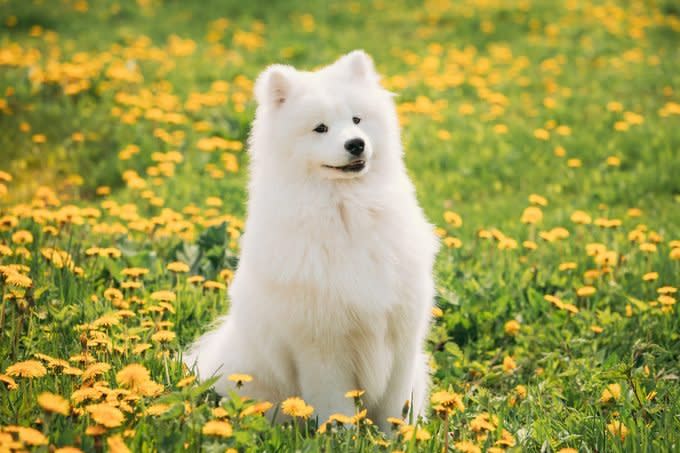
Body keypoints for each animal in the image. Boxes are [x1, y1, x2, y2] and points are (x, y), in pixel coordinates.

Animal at [185, 50, 440, 430]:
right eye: (320, 128)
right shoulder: (322, 347)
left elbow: (395, 407)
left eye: (357, 119)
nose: (356, 144)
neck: (348, 211)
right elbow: (337, 406)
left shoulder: (402, 337)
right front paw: (343, 436)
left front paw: (397, 437)